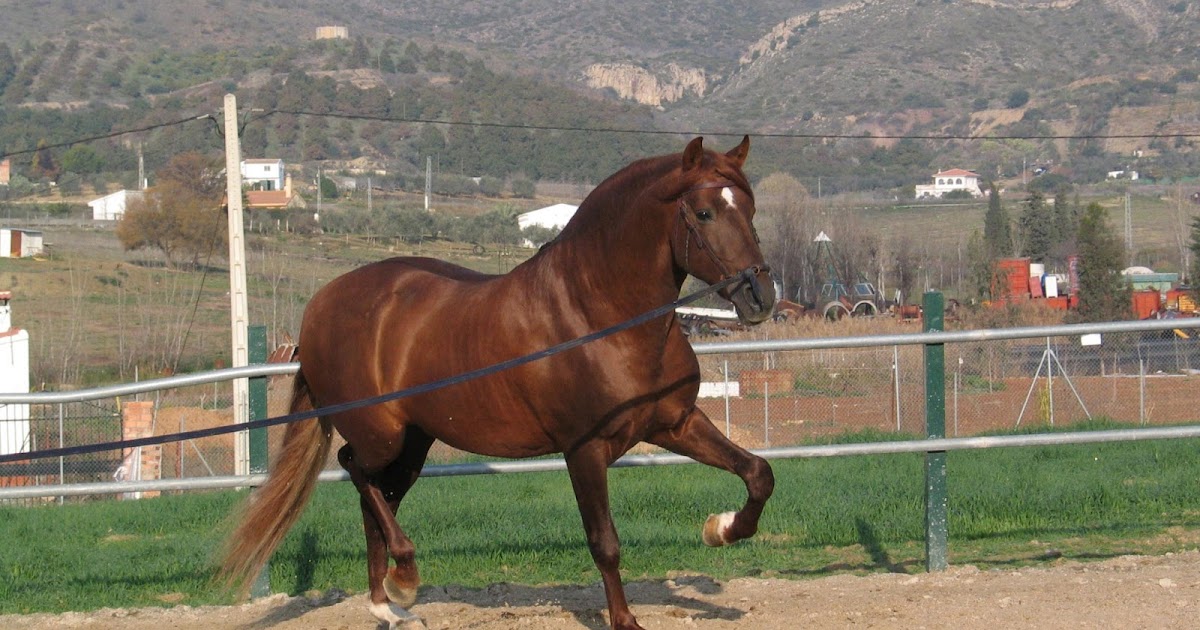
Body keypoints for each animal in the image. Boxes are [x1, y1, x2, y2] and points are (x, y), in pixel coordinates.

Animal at [220, 136, 778, 630]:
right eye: (703, 213)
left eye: (750, 208)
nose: (761, 297)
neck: (598, 314)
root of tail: (320, 307)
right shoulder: (585, 449)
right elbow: (605, 541)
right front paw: (626, 621)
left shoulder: (675, 424)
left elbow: (758, 473)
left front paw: (721, 529)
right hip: (380, 436)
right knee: (355, 470)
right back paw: (405, 577)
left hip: (413, 444)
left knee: (376, 496)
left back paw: (388, 605)